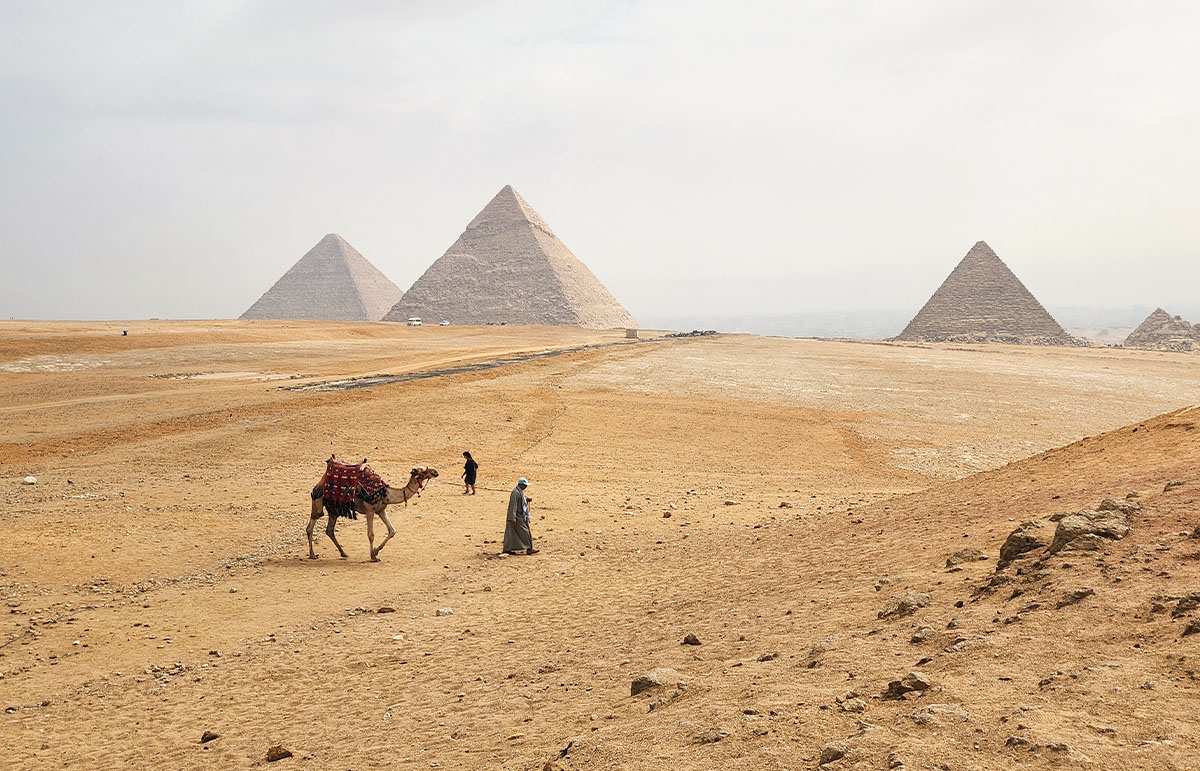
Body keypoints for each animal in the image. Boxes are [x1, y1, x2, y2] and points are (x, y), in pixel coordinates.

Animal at [307, 456, 439, 557]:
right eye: (422, 471)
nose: (435, 472)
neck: (385, 493)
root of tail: (319, 483)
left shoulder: (381, 510)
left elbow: (392, 531)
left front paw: (375, 551)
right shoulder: (369, 510)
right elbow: (371, 535)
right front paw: (373, 556)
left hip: (334, 509)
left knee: (329, 530)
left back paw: (343, 553)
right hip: (318, 500)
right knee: (311, 525)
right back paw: (312, 554)